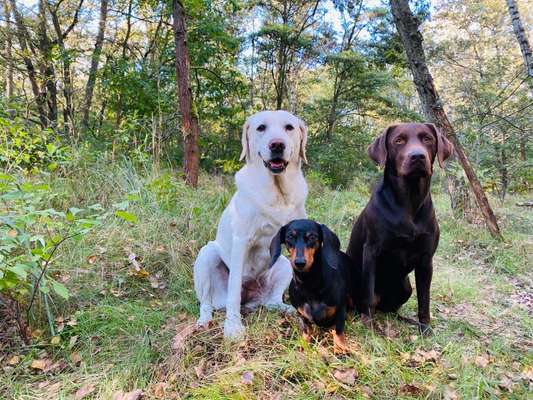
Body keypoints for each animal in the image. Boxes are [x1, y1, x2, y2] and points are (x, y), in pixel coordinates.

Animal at [192, 109, 308, 338]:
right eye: (261, 127)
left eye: (289, 127)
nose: (277, 144)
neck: (278, 193)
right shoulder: (241, 241)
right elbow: (234, 292)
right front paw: (233, 327)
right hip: (207, 254)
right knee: (207, 303)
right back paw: (204, 321)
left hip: (283, 264)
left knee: (272, 301)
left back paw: (287, 309)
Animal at [348, 122, 450, 334]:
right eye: (399, 140)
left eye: (427, 139)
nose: (417, 156)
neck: (408, 202)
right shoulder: (371, 251)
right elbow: (367, 293)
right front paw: (368, 326)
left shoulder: (426, 260)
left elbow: (424, 300)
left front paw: (425, 329)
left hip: (405, 287)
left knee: (390, 310)